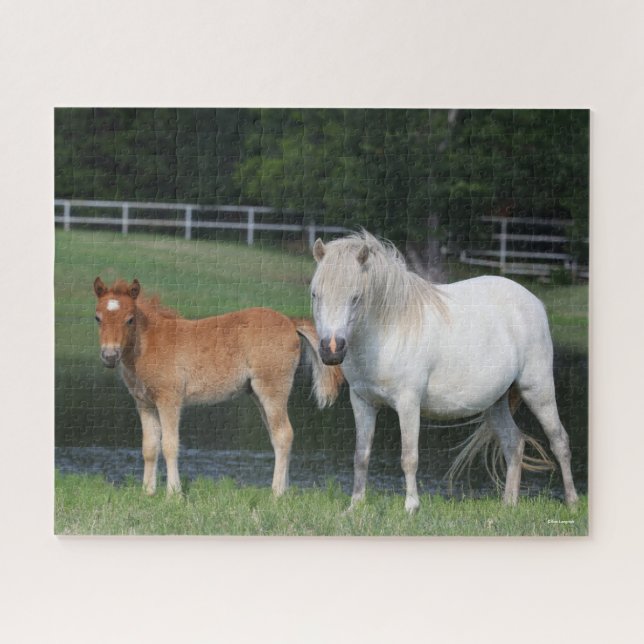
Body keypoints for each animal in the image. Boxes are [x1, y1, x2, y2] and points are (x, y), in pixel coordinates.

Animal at [93, 277, 343, 497]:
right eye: (97, 318)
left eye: (130, 319)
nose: (109, 356)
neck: (150, 344)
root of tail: (290, 322)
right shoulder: (144, 403)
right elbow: (149, 448)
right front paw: (147, 493)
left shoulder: (169, 400)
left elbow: (170, 445)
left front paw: (173, 494)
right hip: (258, 395)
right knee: (278, 437)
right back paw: (286, 490)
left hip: (273, 389)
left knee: (284, 435)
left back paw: (277, 493)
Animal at [310, 231, 579, 513]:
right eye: (315, 295)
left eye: (356, 297)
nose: (331, 349)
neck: (390, 329)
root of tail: (534, 301)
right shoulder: (362, 402)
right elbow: (361, 455)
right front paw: (354, 506)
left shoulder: (408, 403)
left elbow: (409, 457)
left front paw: (411, 507)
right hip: (496, 402)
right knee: (513, 443)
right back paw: (509, 505)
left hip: (538, 389)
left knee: (559, 441)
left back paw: (572, 503)